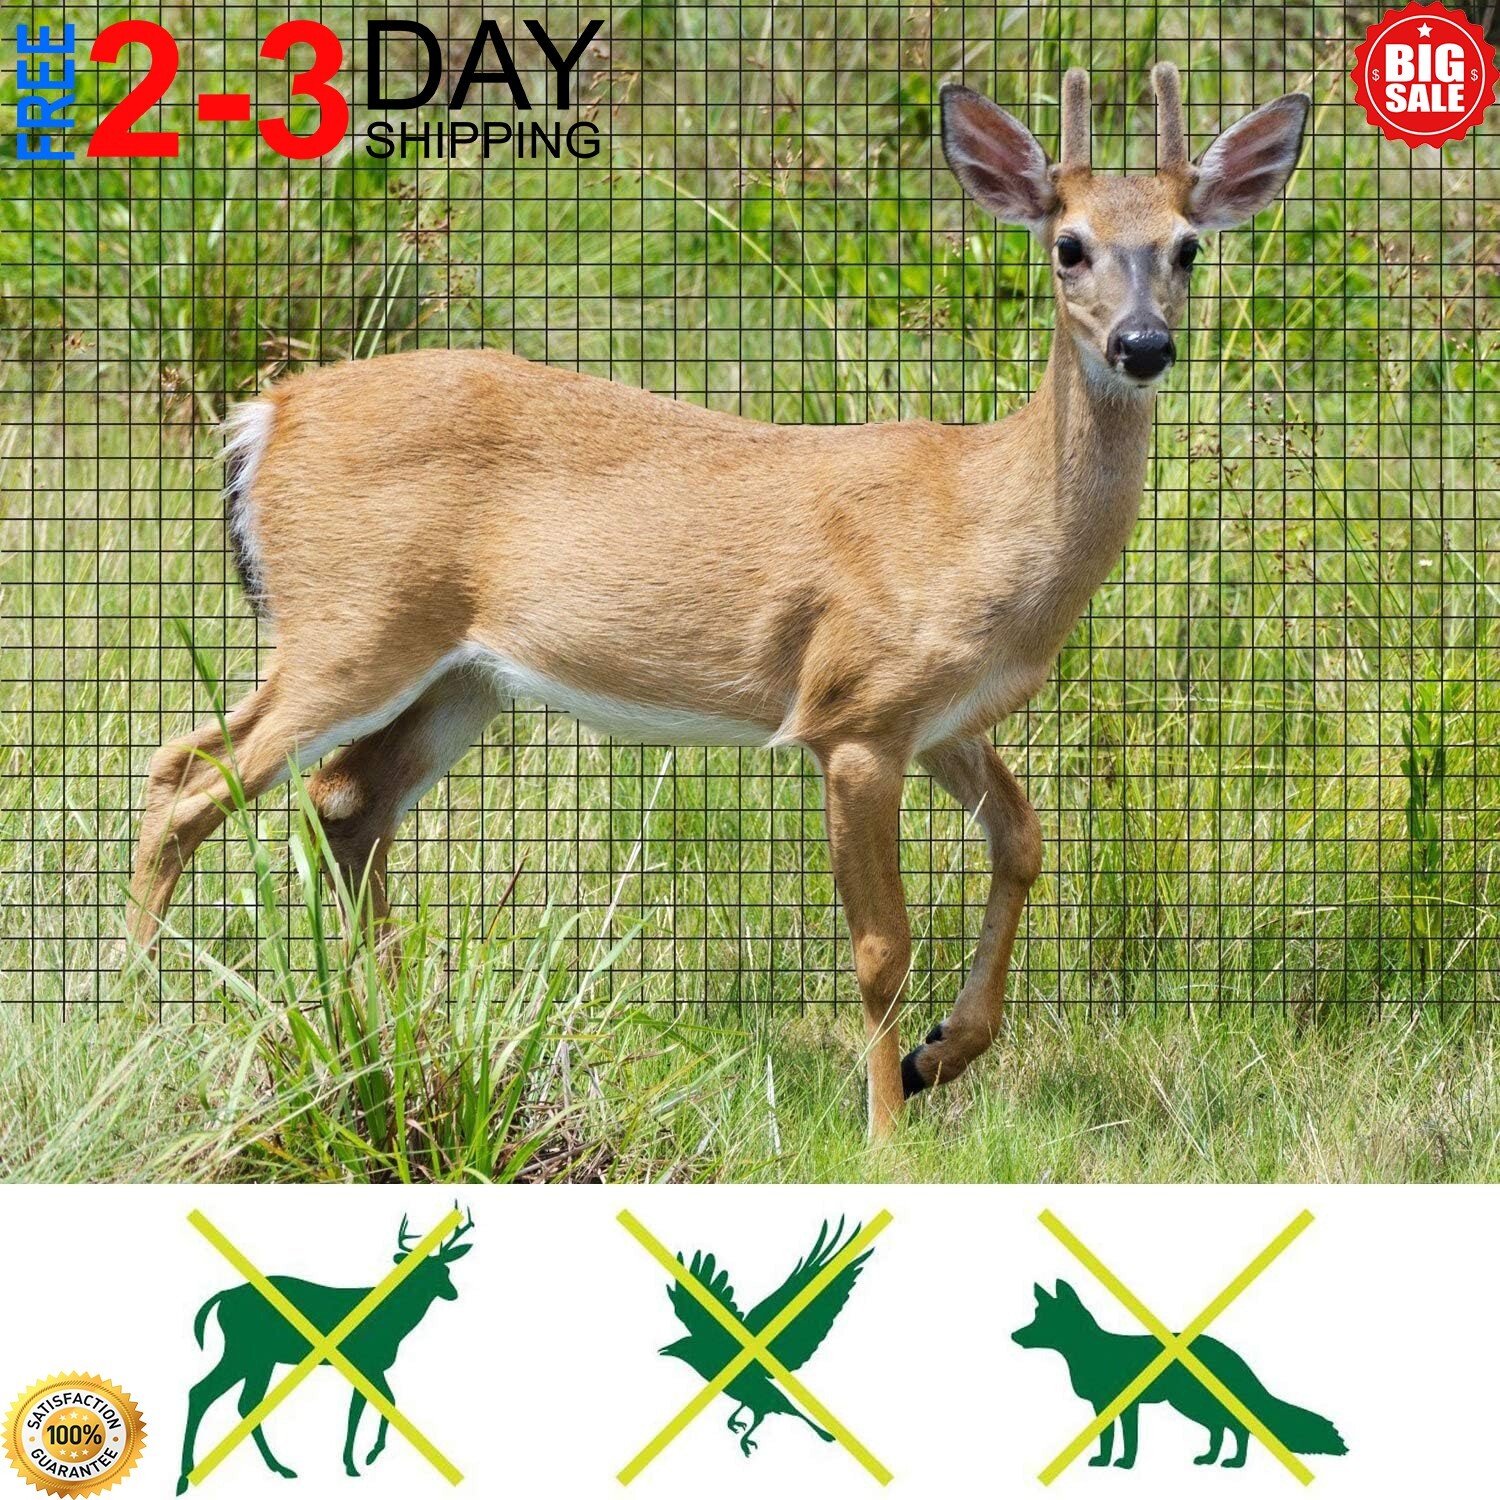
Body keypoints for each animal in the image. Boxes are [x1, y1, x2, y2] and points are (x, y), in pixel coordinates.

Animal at [128, 65, 1308, 1141]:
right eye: (1069, 244)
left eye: (1188, 247)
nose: (1143, 344)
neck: (981, 518)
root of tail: (263, 418)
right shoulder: (855, 714)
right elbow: (881, 947)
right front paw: (887, 1131)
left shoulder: (942, 717)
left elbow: (1024, 839)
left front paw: (940, 1055)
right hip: (350, 624)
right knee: (187, 775)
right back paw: (136, 1014)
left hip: (461, 676)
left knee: (343, 801)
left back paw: (389, 1030)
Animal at [177, 1209, 474, 1492]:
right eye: (421, 1270)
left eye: (446, 1271)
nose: (453, 1293)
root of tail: (222, 1296)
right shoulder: (365, 1361)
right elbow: (367, 1408)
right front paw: (358, 1461)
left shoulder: (372, 1366)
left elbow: (384, 1402)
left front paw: (365, 1456)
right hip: (245, 1351)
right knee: (207, 1393)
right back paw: (187, 1476)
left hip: (259, 1359)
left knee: (238, 1401)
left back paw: (274, 1468)